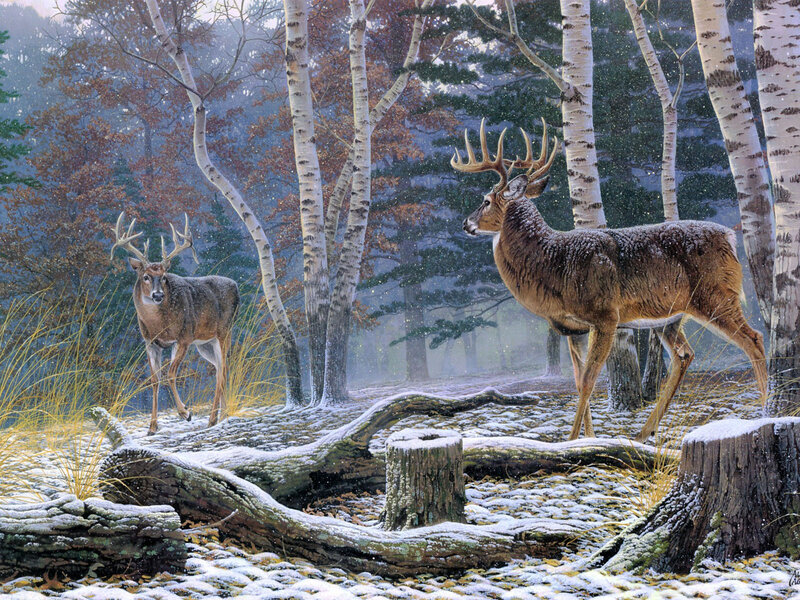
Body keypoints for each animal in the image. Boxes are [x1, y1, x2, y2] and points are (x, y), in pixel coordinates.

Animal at [110, 212, 240, 435]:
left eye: (163, 277)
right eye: (146, 276)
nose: (158, 295)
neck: (159, 324)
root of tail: (236, 285)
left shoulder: (184, 338)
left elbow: (171, 374)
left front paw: (185, 412)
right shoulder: (150, 342)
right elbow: (155, 379)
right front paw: (152, 426)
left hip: (224, 331)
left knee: (222, 370)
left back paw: (212, 419)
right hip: (205, 343)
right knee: (220, 368)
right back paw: (222, 415)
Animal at [451, 119, 768, 442]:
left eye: (486, 200)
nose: (465, 223)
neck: (554, 263)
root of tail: (729, 237)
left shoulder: (605, 315)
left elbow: (590, 380)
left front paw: (572, 440)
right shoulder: (573, 327)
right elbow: (578, 380)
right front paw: (587, 438)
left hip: (716, 295)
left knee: (754, 339)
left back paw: (765, 410)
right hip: (671, 317)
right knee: (685, 355)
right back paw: (644, 433)